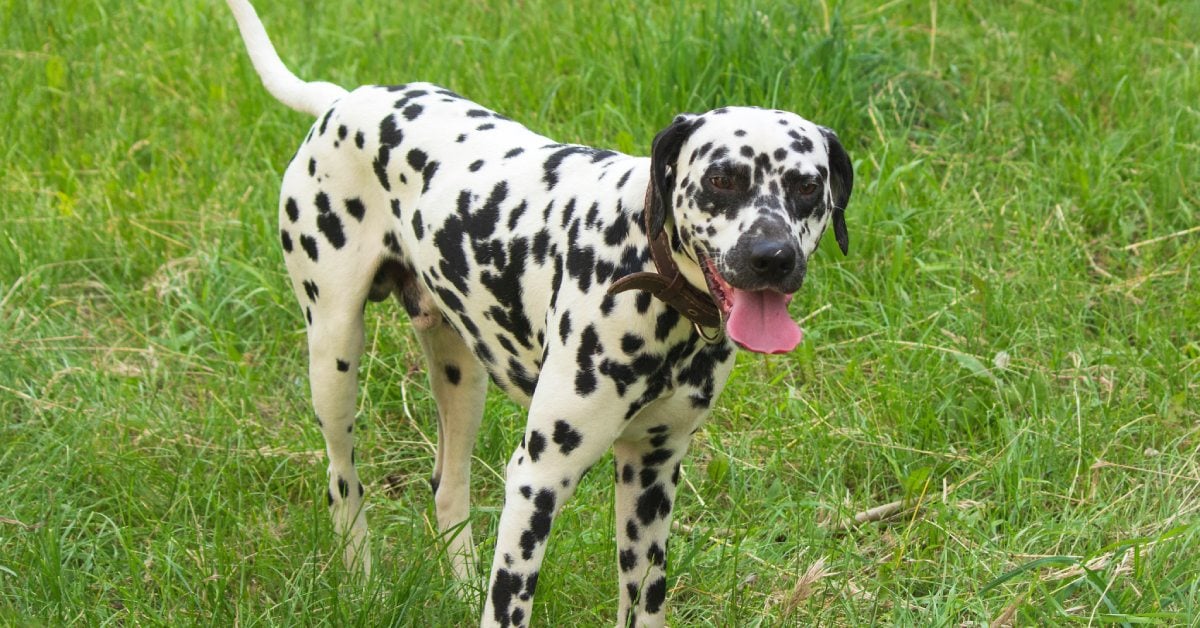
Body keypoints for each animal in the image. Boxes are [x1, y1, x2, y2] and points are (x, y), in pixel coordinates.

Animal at [226, 2, 854, 624]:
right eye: (723, 178)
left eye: (807, 185)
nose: (773, 256)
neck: (646, 276)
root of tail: (342, 100)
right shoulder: (537, 480)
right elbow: (508, 601)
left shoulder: (651, 475)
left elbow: (645, 599)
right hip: (334, 357)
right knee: (342, 480)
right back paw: (363, 582)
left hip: (462, 376)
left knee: (447, 485)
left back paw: (459, 586)